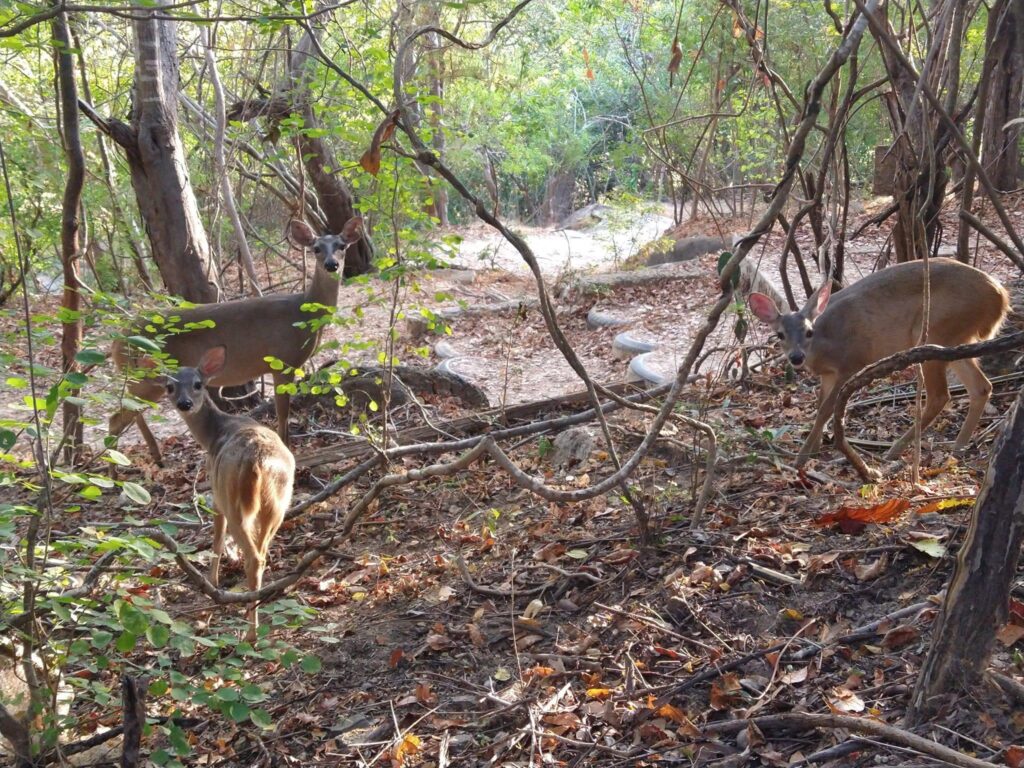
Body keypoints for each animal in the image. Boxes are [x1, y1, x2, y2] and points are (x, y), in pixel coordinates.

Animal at [108, 217, 362, 462]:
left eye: (342, 246)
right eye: (316, 248)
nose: (331, 264)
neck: (303, 311)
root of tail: (117, 342)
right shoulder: (281, 360)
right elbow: (283, 413)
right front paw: (287, 449)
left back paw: (155, 457)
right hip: (144, 376)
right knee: (116, 418)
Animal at [159, 346, 294, 638]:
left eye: (198, 384)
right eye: (169, 387)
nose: (185, 403)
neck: (212, 435)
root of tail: (257, 461)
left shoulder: (216, 495)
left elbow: (217, 542)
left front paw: (211, 583)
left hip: (234, 500)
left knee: (252, 556)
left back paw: (249, 633)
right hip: (278, 503)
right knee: (262, 554)